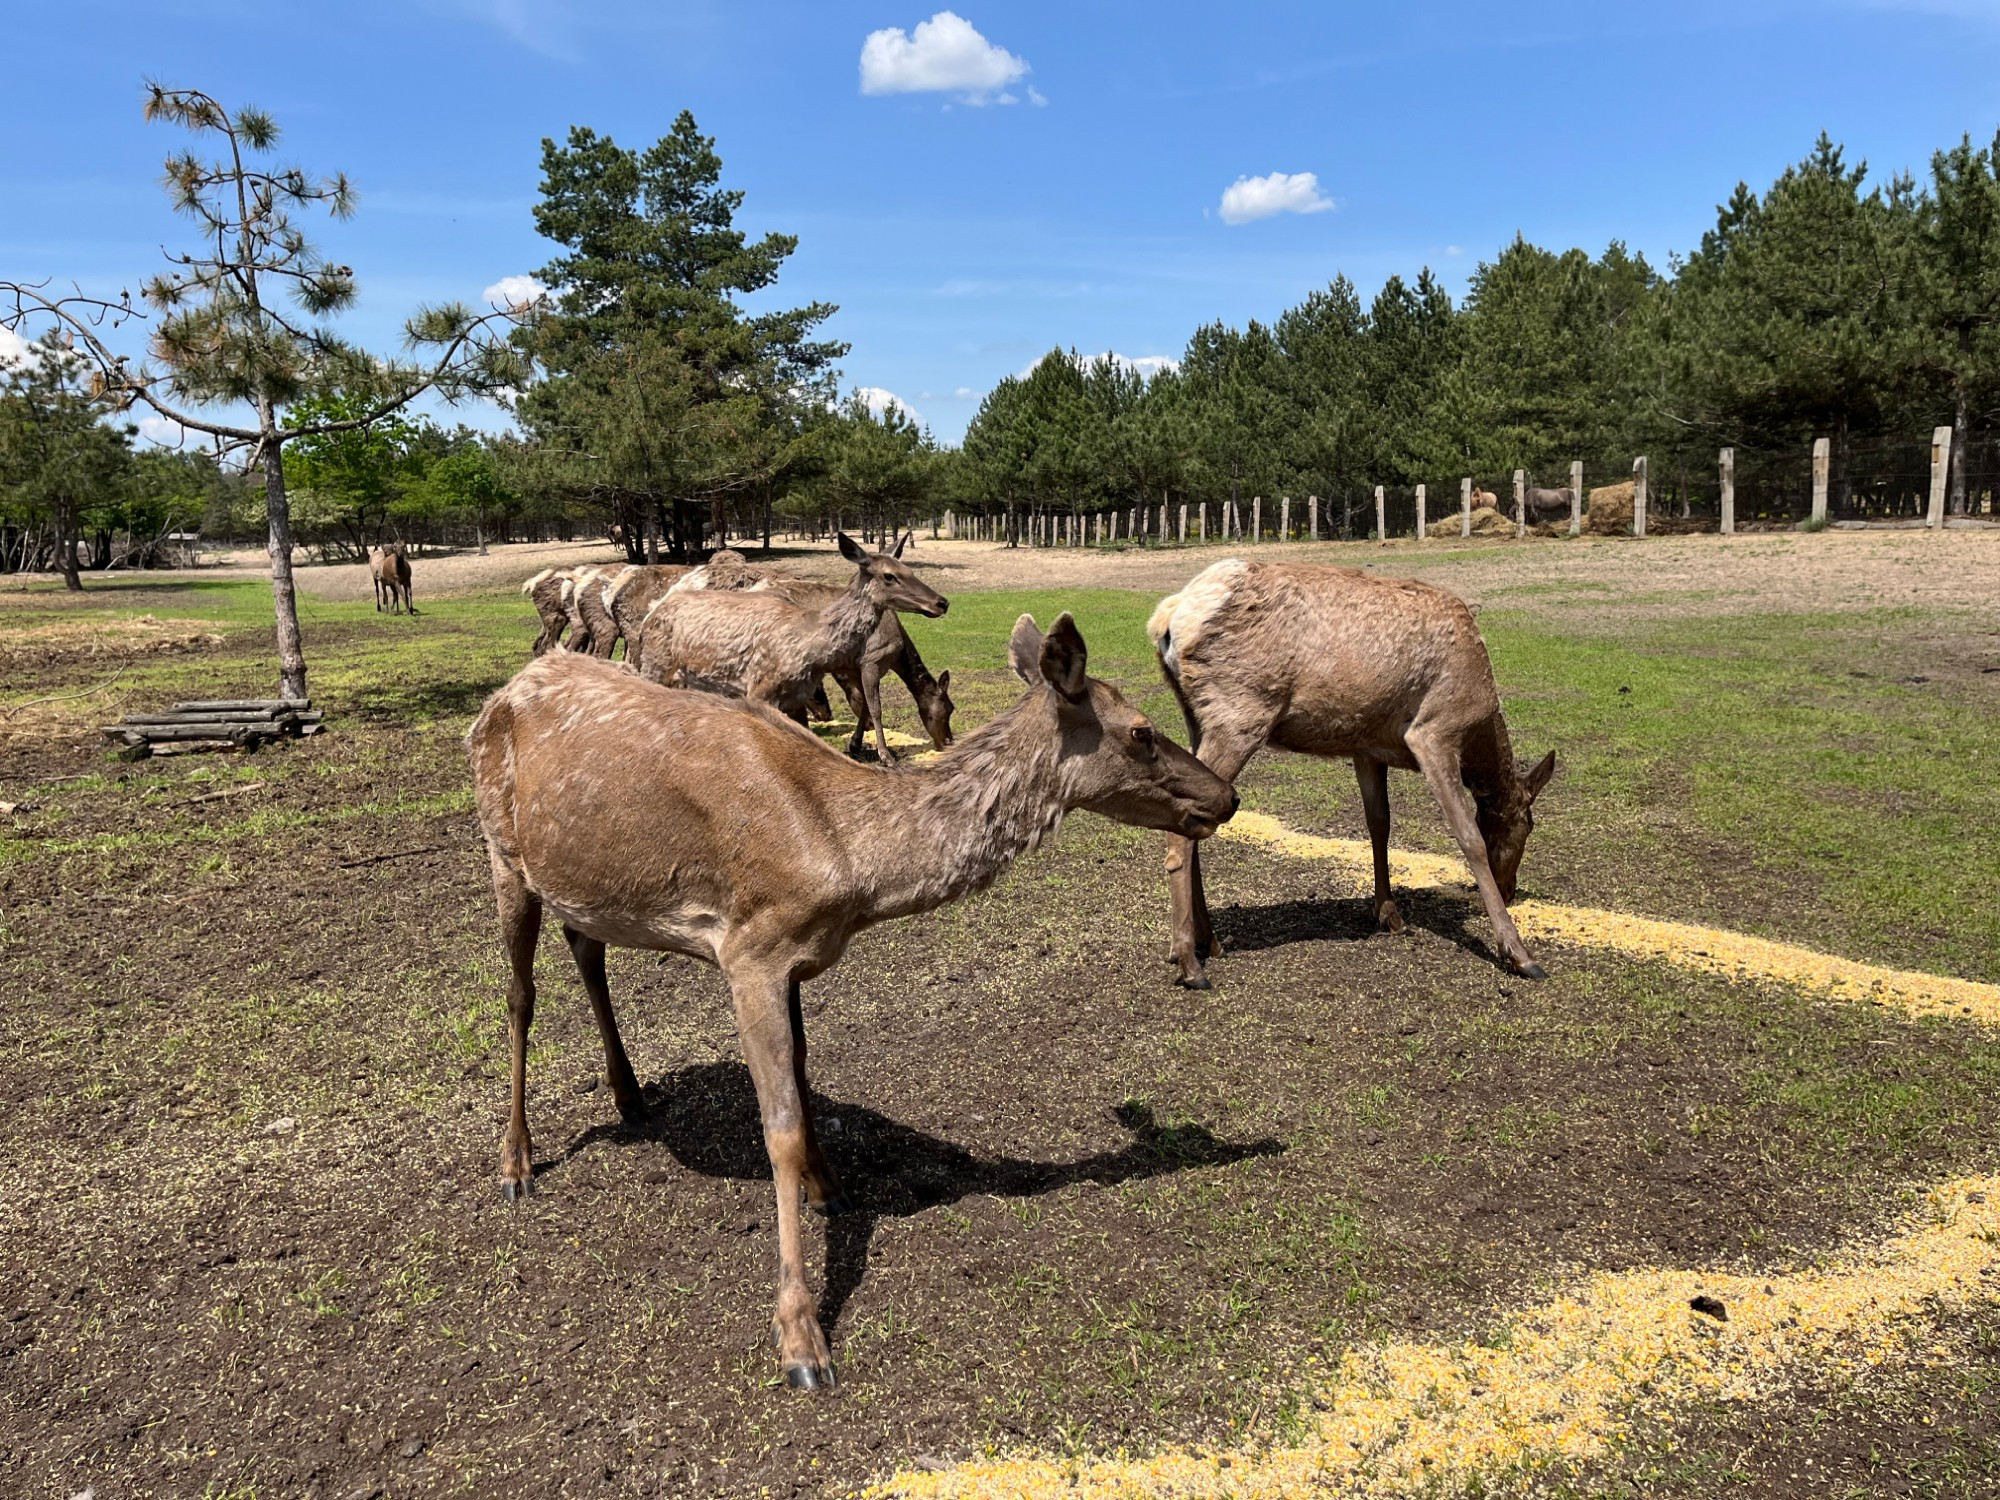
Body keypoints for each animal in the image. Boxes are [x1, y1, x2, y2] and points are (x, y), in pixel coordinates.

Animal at [470, 616, 1240, 1392]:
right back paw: (516, 1164)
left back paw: (629, 1096)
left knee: (584, 950)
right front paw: (800, 1337)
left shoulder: (796, 960)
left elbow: (806, 1078)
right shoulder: (749, 950)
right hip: (502, 852)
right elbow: (778, 1127)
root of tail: (503, 693)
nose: (1227, 798)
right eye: (1141, 731)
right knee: (519, 996)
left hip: (582, 884)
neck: (853, 867)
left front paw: (829, 1186)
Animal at [640, 536, 952, 728]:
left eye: (910, 569)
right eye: (889, 575)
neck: (811, 652)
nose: (942, 602)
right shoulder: (759, 690)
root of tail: (651, 613)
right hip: (655, 667)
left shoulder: (796, 700)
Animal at [1152, 560, 1552, 988]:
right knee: (1182, 831)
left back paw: (1207, 941)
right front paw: (1519, 954)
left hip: (1200, 720)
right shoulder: (1434, 733)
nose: (1510, 889)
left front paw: (1389, 914)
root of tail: (1169, 617)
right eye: (1528, 825)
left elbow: (1379, 823)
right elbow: (1469, 838)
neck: (1478, 719)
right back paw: (1188, 961)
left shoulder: (1367, 748)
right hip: (1240, 714)